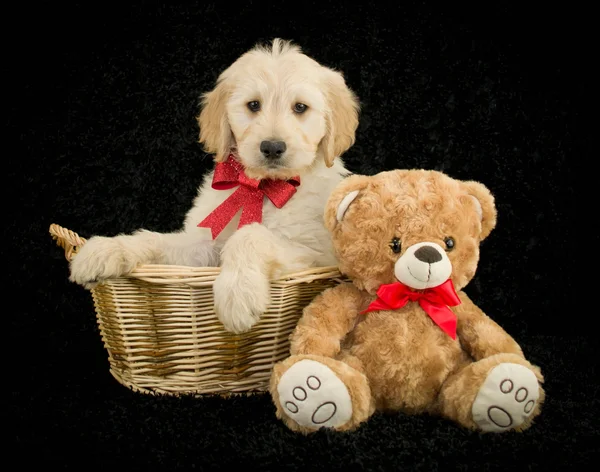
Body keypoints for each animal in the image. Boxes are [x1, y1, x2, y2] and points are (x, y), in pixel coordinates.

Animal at [70, 38, 360, 334]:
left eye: (300, 108)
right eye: (253, 105)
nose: (272, 147)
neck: (261, 187)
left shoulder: (315, 254)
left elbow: (250, 235)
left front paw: (238, 292)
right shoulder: (205, 245)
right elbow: (156, 239)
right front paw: (106, 249)